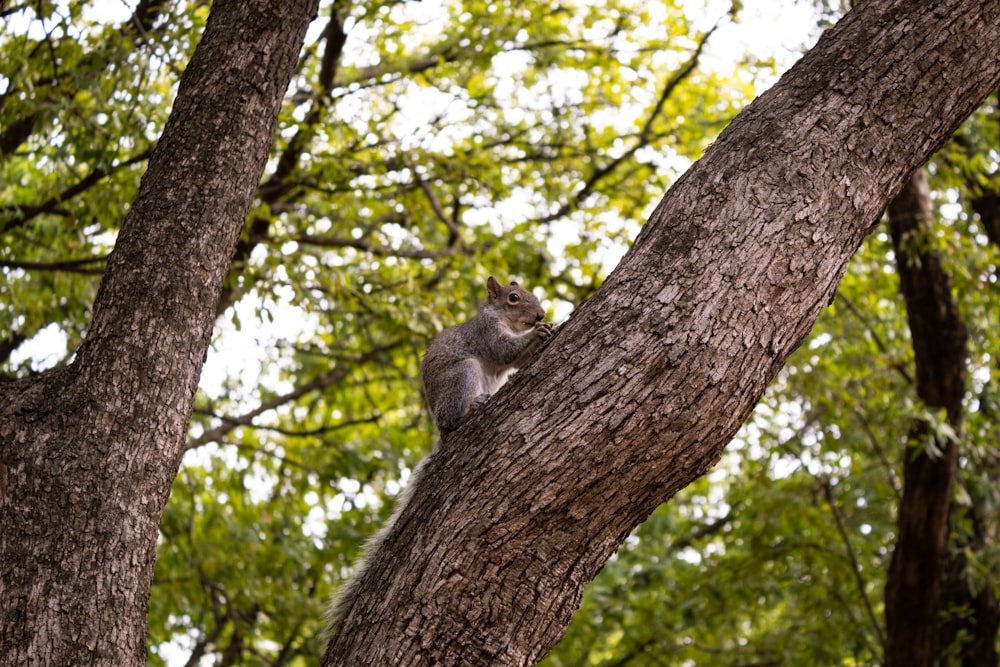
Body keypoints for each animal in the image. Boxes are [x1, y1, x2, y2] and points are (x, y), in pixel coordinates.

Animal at [418, 276, 552, 436]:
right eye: (514, 297)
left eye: (534, 296)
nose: (541, 315)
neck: (512, 326)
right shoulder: (486, 331)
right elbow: (503, 349)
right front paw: (536, 332)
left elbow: (518, 360)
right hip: (462, 374)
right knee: (448, 421)